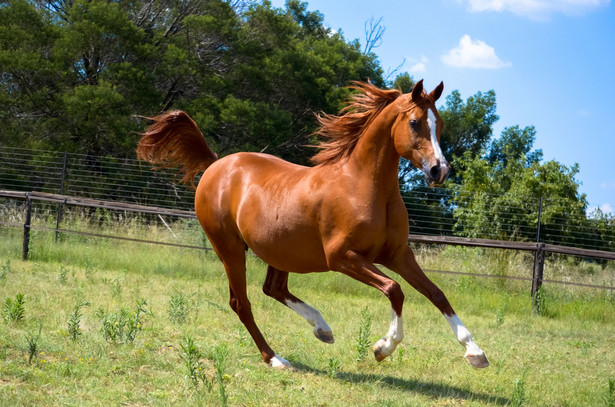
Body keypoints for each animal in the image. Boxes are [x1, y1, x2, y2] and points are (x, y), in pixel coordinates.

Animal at [137, 79, 488, 370]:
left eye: (439, 123)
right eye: (415, 122)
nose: (438, 170)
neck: (364, 186)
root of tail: (215, 165)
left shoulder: (398, 254)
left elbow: (436, 293)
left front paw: (475, 352)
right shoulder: (343, 258)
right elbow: (395, 290)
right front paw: (383, 347)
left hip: (280, 251)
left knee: (273, 288)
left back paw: (322, 328)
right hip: (231, 250)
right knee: (242, 302)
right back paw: (276, 359)